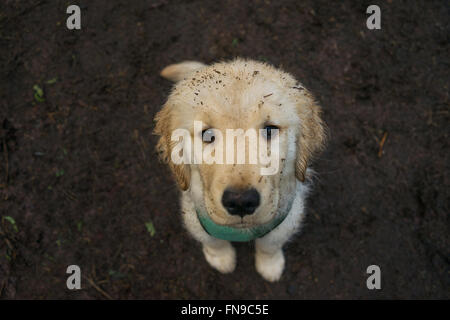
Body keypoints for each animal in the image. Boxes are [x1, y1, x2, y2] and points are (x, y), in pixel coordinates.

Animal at [153, 58, 326, 282]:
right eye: (207, 134)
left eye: (270, 129)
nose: (241, 202)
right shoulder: (194, 215)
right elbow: (212, 241)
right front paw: (221, 258)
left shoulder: (286, 217)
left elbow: (270, 244)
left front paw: (270, 265)